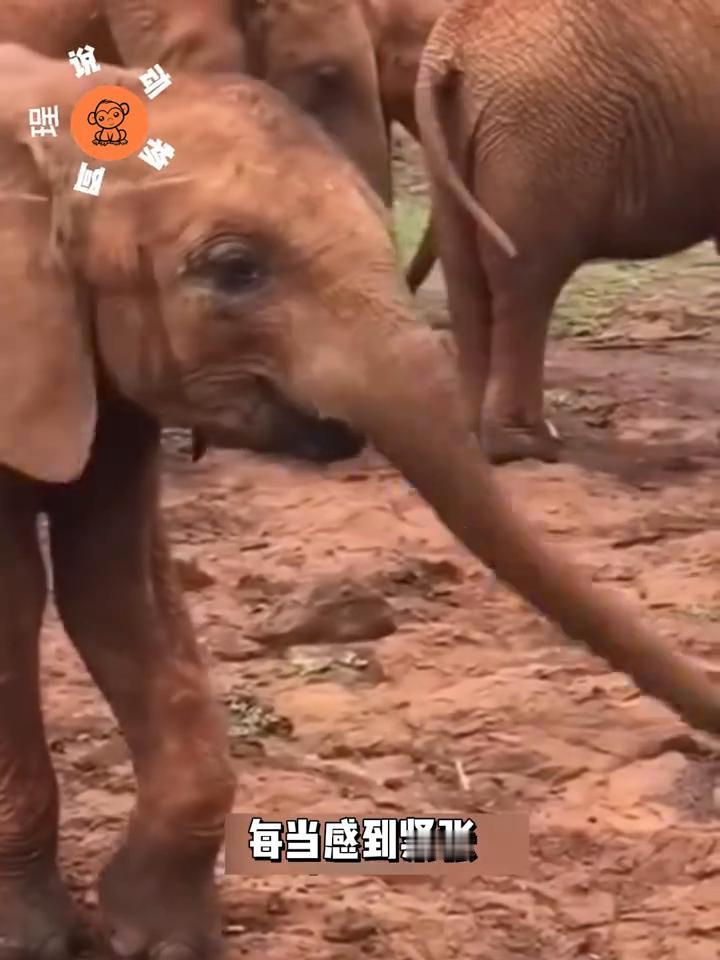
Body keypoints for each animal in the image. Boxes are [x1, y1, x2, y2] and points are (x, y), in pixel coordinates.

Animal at [415, 0, 720, 464]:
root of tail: (453, 42)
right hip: (540, 134)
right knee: (527, 280)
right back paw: (529, 445)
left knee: (465, 275)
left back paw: (467, 436)